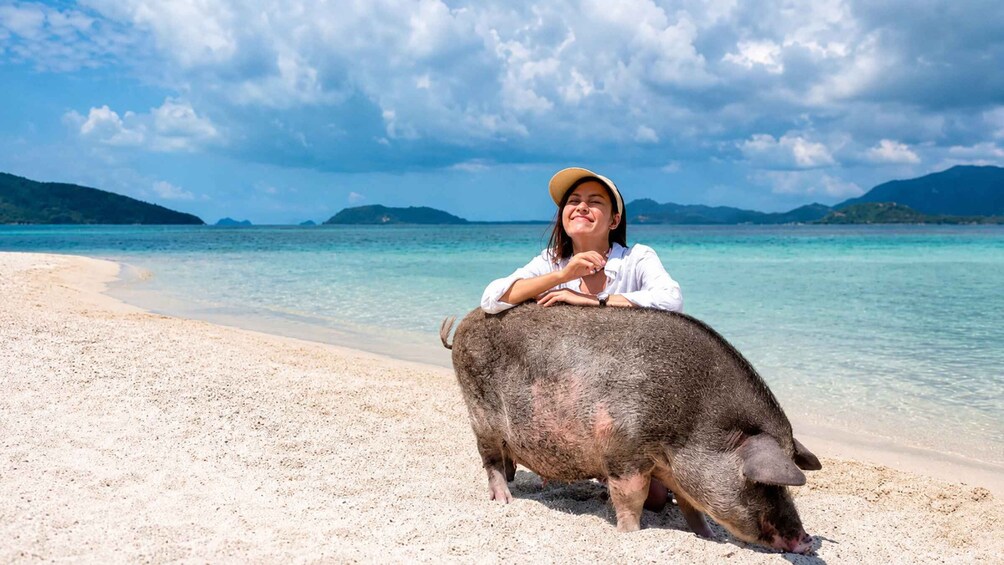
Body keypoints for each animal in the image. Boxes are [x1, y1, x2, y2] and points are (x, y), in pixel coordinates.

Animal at [440, 303, 821, 554]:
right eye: (763, 484)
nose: (806, 540)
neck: (695, 423)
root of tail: (464, 323)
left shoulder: (674, 470)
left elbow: (691, 506)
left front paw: (708, 537)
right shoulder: (623, 451)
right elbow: (631, 497)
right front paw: (630, 534)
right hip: (480, 413)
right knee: (489, 459)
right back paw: (504, 500)